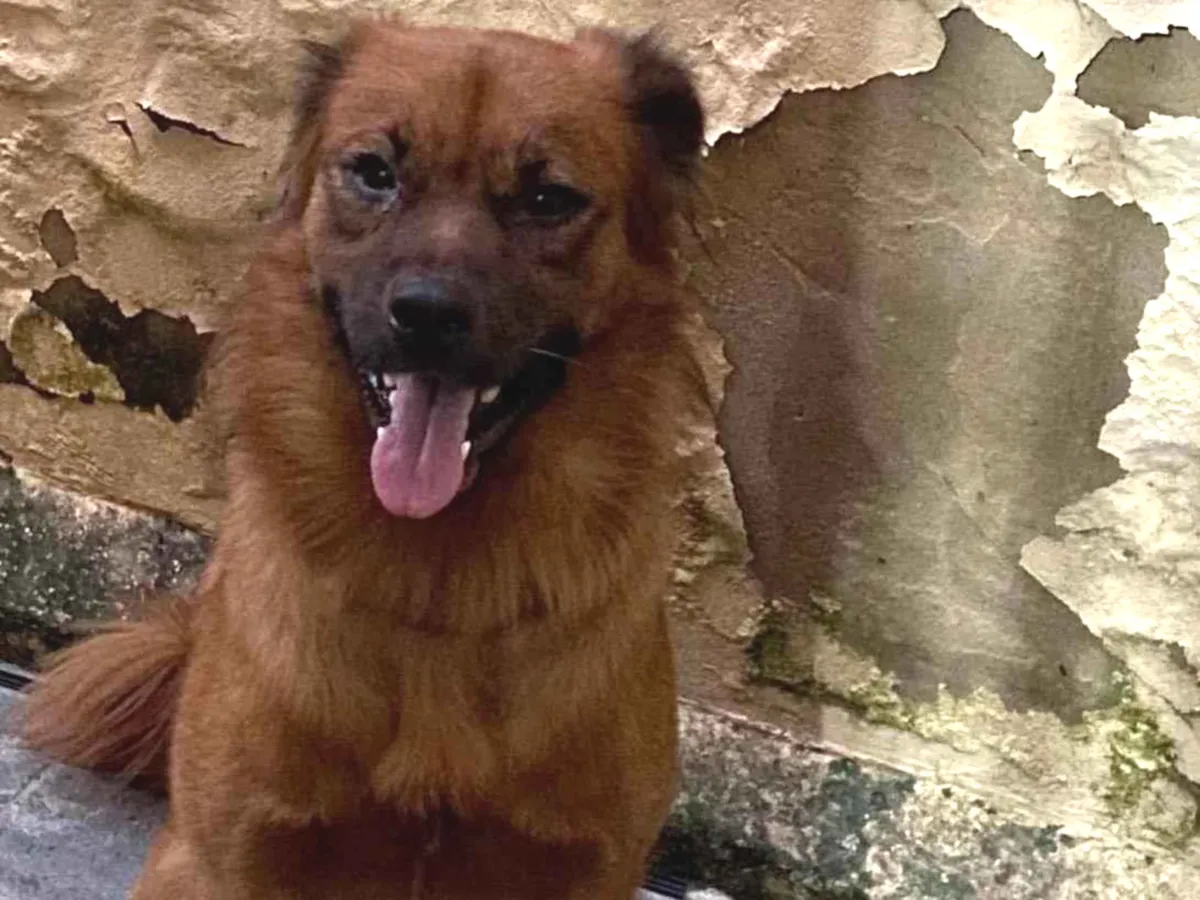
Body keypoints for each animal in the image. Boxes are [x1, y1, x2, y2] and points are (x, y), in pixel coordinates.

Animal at [22, 19, 706, 900]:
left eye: (548, 198)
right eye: (375, 173)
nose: (427, 314)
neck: (440, 590)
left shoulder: (590, 864)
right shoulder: (227, 853)